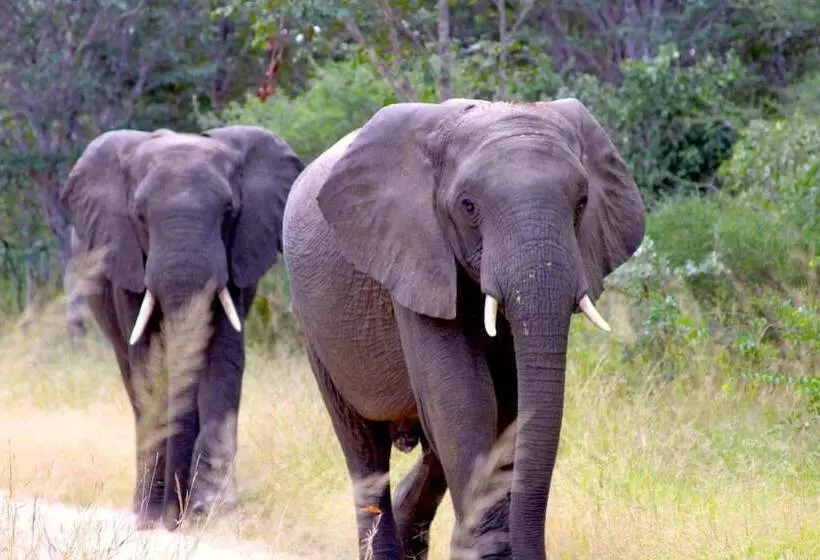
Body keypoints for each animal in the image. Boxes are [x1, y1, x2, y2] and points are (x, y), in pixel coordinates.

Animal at [60, 125, 304, 529]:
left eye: (229, 213)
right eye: (139, 216)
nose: (175, 517)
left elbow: (223, 360)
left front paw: (210, 512)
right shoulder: (127, 262)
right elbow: (148, 364)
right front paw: (154, 518)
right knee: (133, 380)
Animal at [282, 98, 645, 559]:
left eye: (582, 203)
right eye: (468, 207)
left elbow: (508, 405)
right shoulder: (414, 253)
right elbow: (464, 398)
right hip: (315, 330)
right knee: (363, 448)